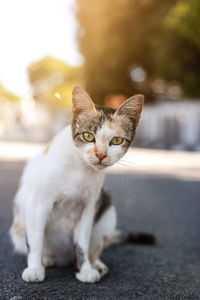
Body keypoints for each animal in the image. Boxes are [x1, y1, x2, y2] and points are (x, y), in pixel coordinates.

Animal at [9, 85, 144, 282]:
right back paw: (45, 260)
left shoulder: (88, 207)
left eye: (116, 141)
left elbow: (82, 243)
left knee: (96, 245)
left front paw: (85, 269)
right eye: (88, 136)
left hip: (106, 211)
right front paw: (34, 268)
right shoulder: (37, 202)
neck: (80, 169)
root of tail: (62, 258)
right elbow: (35, 240)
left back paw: (96, 264)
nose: (101, 155)